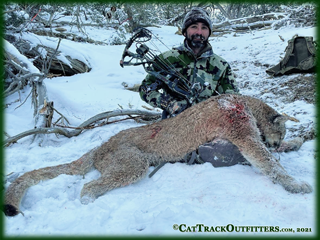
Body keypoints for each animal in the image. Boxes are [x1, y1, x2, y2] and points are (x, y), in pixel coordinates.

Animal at [3, 94, 312, 216]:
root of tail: (102, 145)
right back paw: (88, 200)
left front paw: (296, 142)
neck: (244, 103)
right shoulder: (243, 136)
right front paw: (297, 185)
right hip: (134, 161)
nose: (278, 142)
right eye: (281, 130)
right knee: (90, 185)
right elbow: (269, 163)